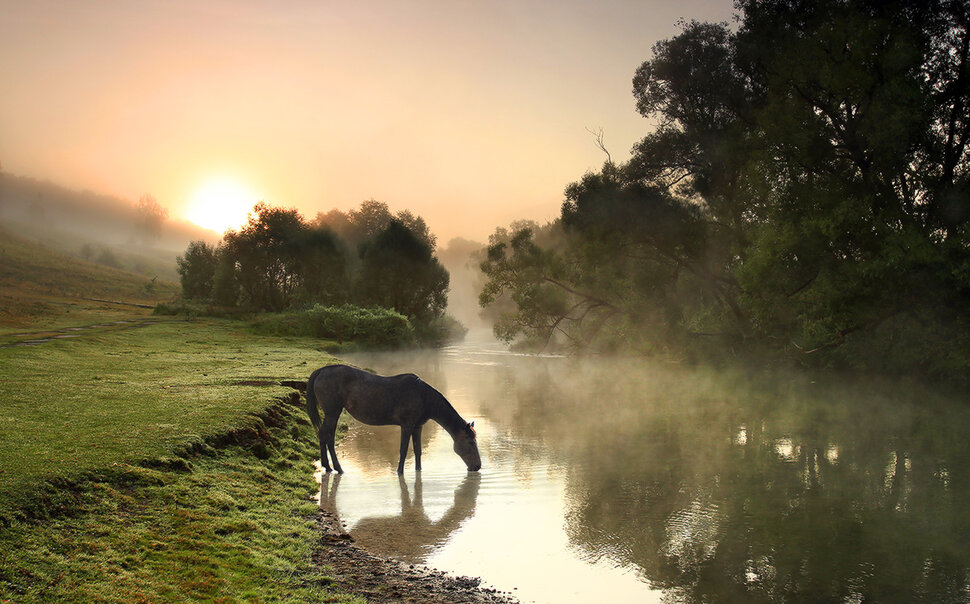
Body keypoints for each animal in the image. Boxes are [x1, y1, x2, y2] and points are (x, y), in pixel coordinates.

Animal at [306, 366, 480, 474]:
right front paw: (399, 472)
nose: (477, 466)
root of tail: (321, 371)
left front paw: (418, 470)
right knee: (327, 436)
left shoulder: (418, 427)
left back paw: (327, 466)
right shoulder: (407, 425)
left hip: (331, 414)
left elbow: (418, 450)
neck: (424, 398)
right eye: (471, 442)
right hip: (332, 413)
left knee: (324, 436)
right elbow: (403, 449)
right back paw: (337, 468)